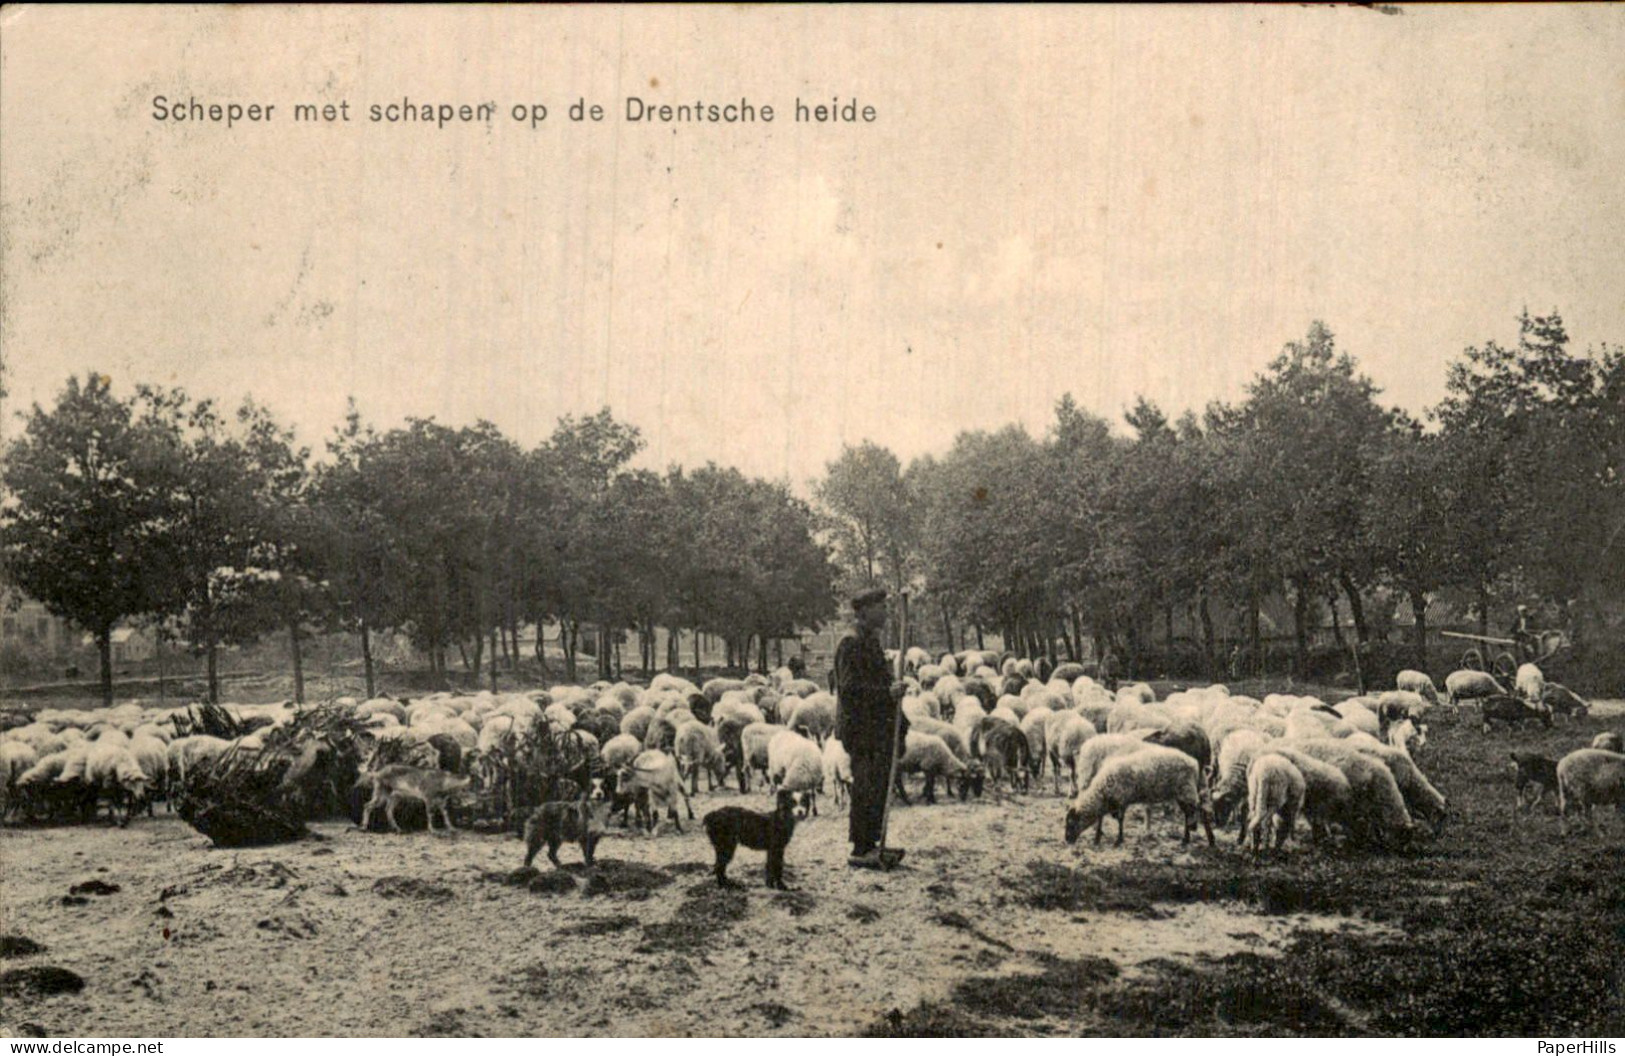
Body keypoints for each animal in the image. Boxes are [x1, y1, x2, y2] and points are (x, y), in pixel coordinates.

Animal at [1059, 740, 1215, 844]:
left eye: (1071, 822)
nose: (1067, 840)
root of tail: (1194, 763)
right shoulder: (1116, 801)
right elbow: (1108, 816)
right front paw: (1101, 837)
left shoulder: (1121, 798)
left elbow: (1119, 819)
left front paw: (1117, 839)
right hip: (1185, 792)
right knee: (1193, 812)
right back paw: (1197, 838)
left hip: (1185, 790)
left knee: (1193, 812)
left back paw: (1193, 838)